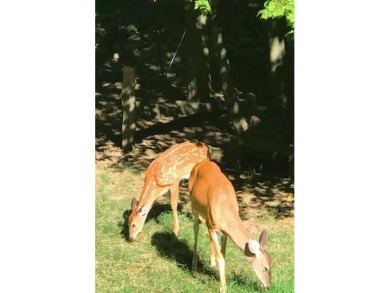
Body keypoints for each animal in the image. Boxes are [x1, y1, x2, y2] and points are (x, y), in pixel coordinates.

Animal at [189, 161, 272, 290]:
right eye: (266, 268)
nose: (269, 286)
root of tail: (202, 162)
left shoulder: (224, 233)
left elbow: (223, 255)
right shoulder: (212, 227)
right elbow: (221, 257)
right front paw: (223, 287)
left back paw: (211, 261)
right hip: (194, 206)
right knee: (196, 228)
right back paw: (194, 265)